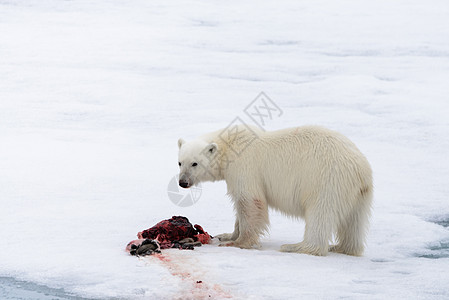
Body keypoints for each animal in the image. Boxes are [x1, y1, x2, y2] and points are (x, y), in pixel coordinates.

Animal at [177, 124, 372, 255]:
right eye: (179, 162)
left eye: (195, 163)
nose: (182, 182)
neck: (230, 145)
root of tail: (361, 169)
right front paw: (227, 235)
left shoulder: (244, 167)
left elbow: (250, 201)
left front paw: (238, 242)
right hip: (358, 194)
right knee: (354, 222)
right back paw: (342, 247)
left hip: (327, 180)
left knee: (320, 213)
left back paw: (296, 247)